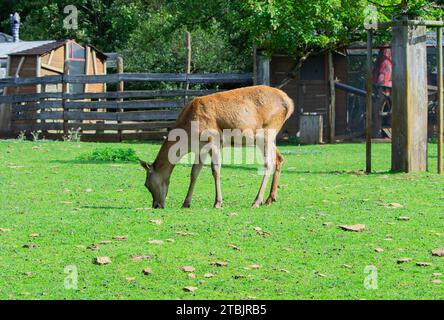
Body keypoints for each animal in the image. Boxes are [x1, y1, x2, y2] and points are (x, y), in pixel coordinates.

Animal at [139, 85, 294, 210]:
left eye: (146, 184)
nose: (156, 205)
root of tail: (289, 102)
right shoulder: (200, 149)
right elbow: (194, 172)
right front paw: (186, 203)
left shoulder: (214, 140)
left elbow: (216, 170)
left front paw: (218, 202)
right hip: (267, 138)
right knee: (279, 158)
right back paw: (270, 199)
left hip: (268, 132)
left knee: (268, 163)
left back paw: (256, 201)